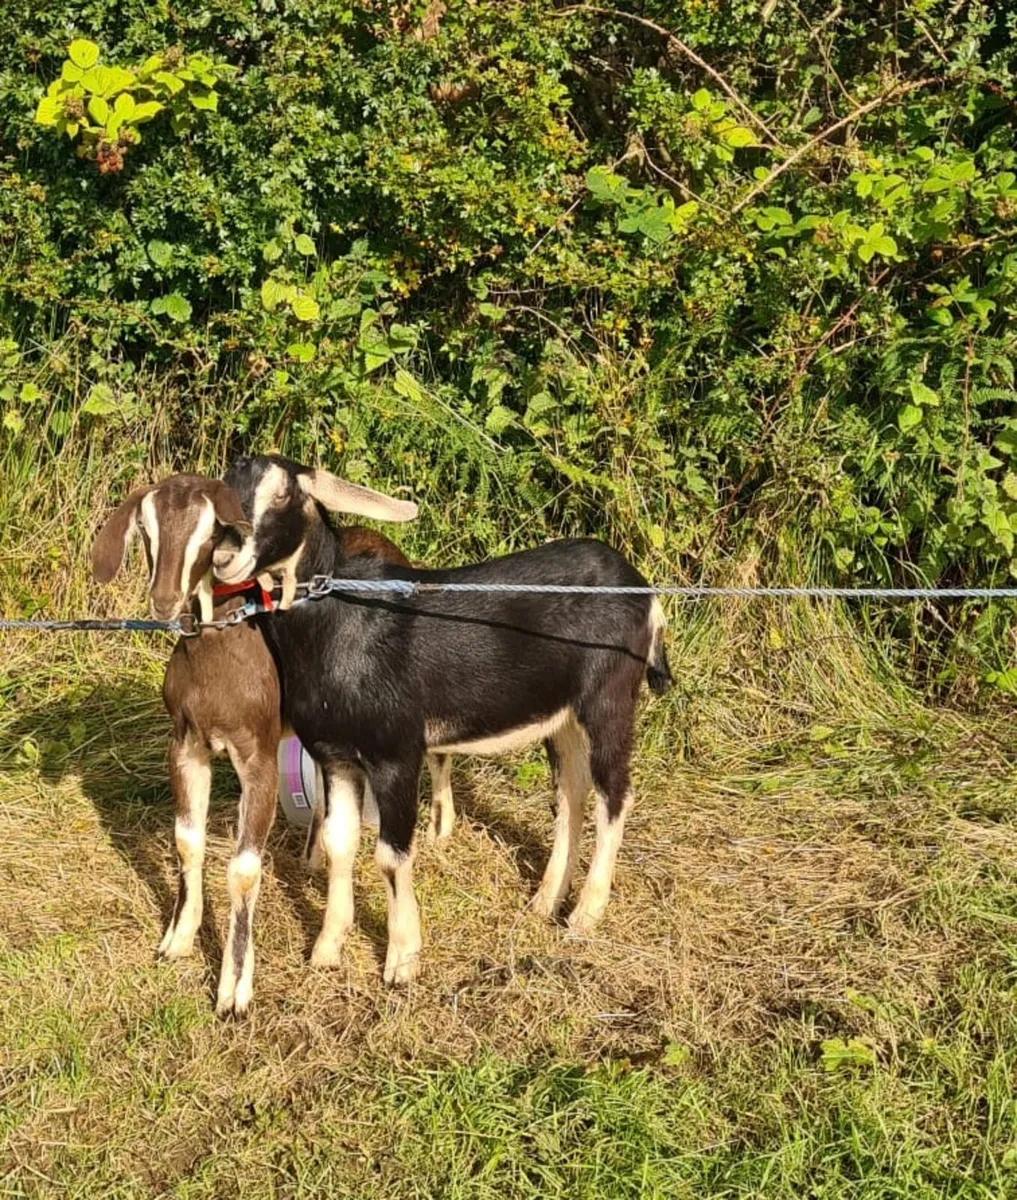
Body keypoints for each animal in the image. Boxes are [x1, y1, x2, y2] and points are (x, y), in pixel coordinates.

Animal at [90, 472, 445, 1015]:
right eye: (147, 529)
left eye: (210, 531)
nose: (165, 599)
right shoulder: (186, 743)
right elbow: (186, 840)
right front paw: (178, 938)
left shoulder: (256, 755)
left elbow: (242, 870)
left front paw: (234, 990)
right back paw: (314, 853)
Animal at [215, 454, 672, 985]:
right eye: (225, 488)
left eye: (284, 495)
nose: (226, 556)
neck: (340, 624)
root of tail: (645, 592)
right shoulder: (335, 756)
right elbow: (338, 843)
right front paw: (327, 948)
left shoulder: (395, 752)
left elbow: (390, 856)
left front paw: (401, 959)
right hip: (562, 720)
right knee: (572, 795)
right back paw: (545, 901)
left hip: (608, 700)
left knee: (614, 794)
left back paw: (584, 915)